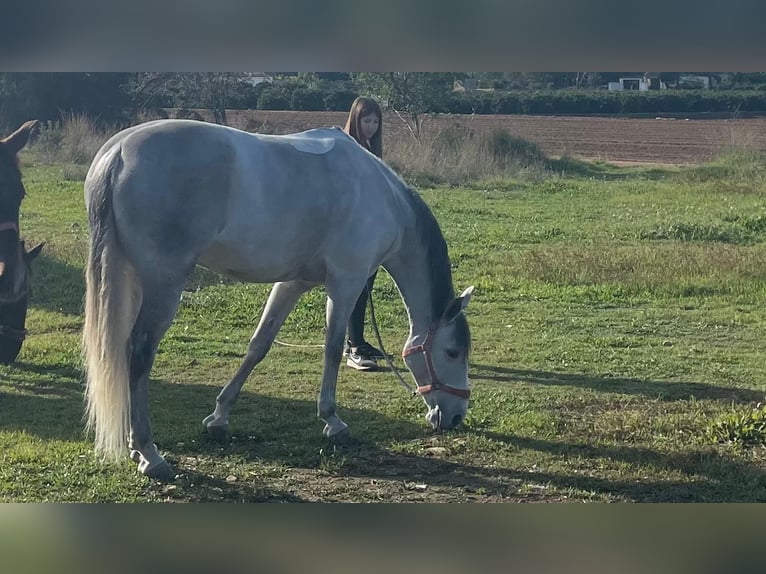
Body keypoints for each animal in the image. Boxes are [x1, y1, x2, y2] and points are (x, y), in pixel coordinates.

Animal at [82, 119, 474, 480]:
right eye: (453, 352)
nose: (455, 417)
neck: (384, 199)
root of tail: (118, 153)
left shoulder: (292, 283)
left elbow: (259, 344)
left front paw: (219, 416)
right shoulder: (346, 282)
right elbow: (332, 348)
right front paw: (333, 421)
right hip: (164, 283)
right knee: (139, 353)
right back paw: (149, 454)